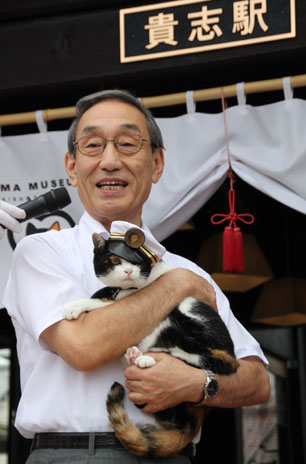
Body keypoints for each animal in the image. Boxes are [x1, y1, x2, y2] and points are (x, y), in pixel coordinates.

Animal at [61, 234, 239, 458]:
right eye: (114, 260)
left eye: (137, 263)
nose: (129, 271)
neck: (128, 289)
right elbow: (104, 295)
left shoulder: (128, 301)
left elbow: (102, 304)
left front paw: (75, 306)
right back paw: (134, 356)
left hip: (189, 310)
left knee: (216, 360)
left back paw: (145, 358)